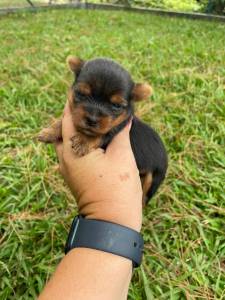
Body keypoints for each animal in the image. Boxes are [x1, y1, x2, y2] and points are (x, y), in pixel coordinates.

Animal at [38, 57, 168, 203]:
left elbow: (102, 135)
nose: (92, 119)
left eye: (116, 105)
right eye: (81, 94)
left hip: (153, 178)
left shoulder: (115, 130)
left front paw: (84, 141)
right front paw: (50, 131)